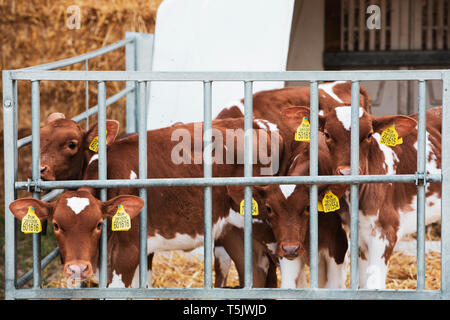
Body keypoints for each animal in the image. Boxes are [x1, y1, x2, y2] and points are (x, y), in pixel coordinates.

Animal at [284, 105, 442, 290]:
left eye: (368, 135)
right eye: (327, 134)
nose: (347, 172)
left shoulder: (386, 230)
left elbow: (374, 285)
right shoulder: (360, 232)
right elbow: (362, 284)